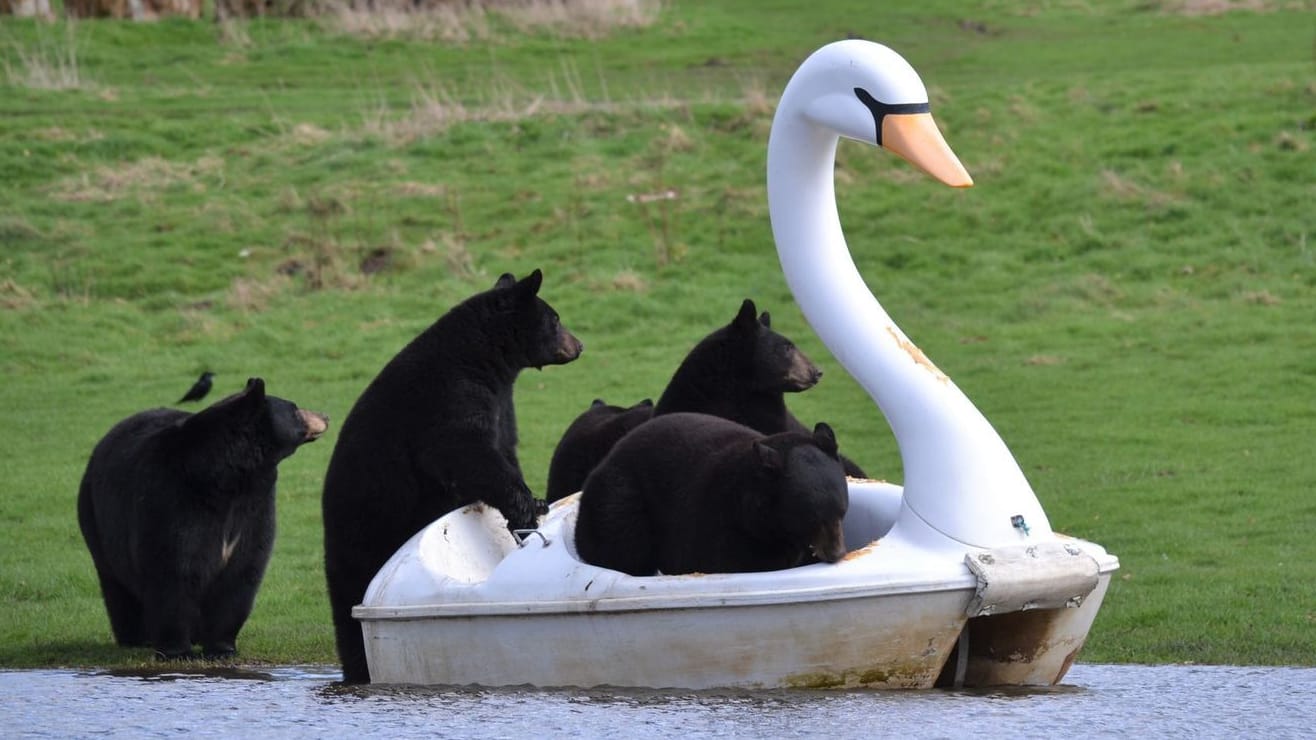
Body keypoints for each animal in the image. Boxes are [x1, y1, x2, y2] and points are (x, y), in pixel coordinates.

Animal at [77, 376, 329, 653]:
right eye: (294, 408)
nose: (325, 416)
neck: (228, 477)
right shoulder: (173, 501)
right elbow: (172, 571)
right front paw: (176, 649)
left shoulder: (255, 507)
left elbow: (242, 571)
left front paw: (221, 647)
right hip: (96, 518)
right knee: (117, 584)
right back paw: (136, 637)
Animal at [321, 267, 584, 684]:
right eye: (555, 319)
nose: (579, 345)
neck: (484, 358)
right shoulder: (450, 397)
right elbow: (465, 452)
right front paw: (527, 507)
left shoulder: (501, 404)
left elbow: (504, 448)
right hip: (363, 532)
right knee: (348, 609)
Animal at [573, 408, 842, 576]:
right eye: (812, 519)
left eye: (841, 512)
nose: (837, 553)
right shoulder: (719, 524)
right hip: (619, 501)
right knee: (623, 547)